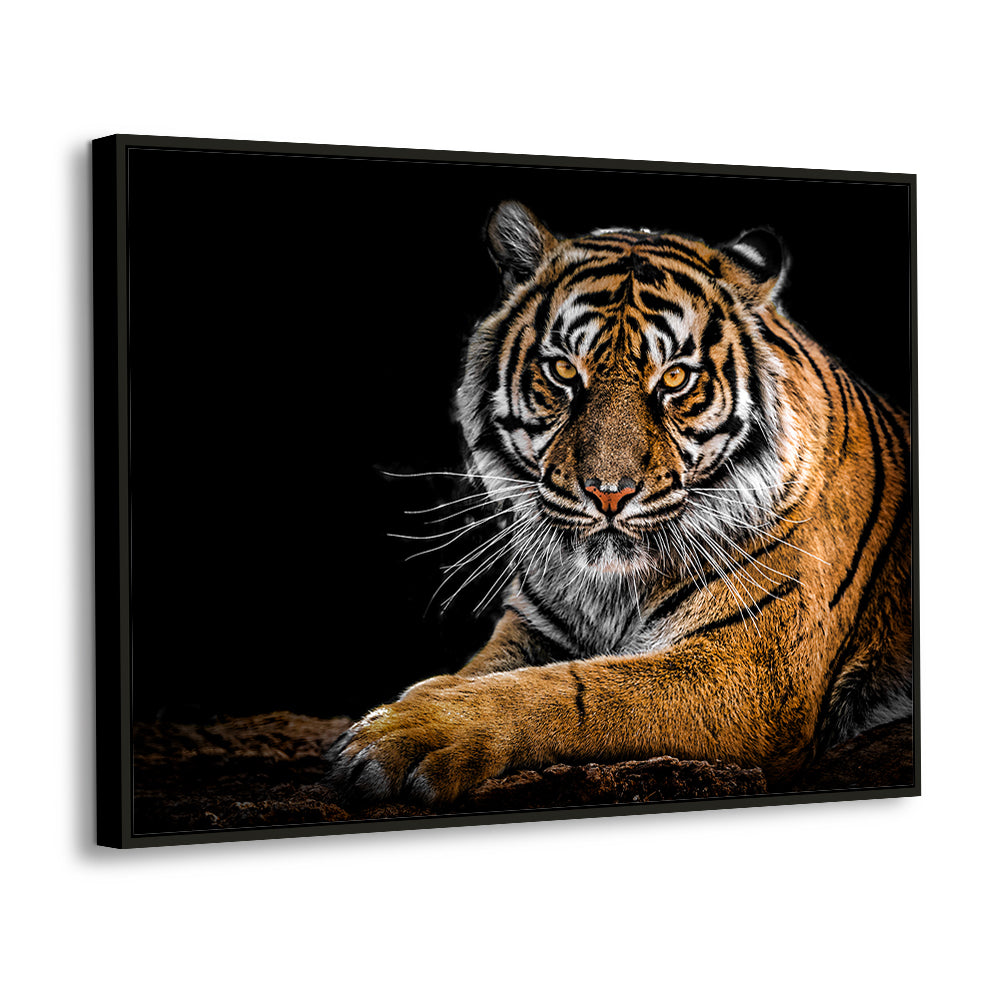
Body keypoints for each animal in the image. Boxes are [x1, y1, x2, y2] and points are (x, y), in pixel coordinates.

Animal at [325, 200, 913, 805]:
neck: (610, 589)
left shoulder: (751, 671)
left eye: (675, 378)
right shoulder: (534, 626)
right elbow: (480, 672)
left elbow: (572, 691)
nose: (609, 493)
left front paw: (407, 733)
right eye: (564, 370)